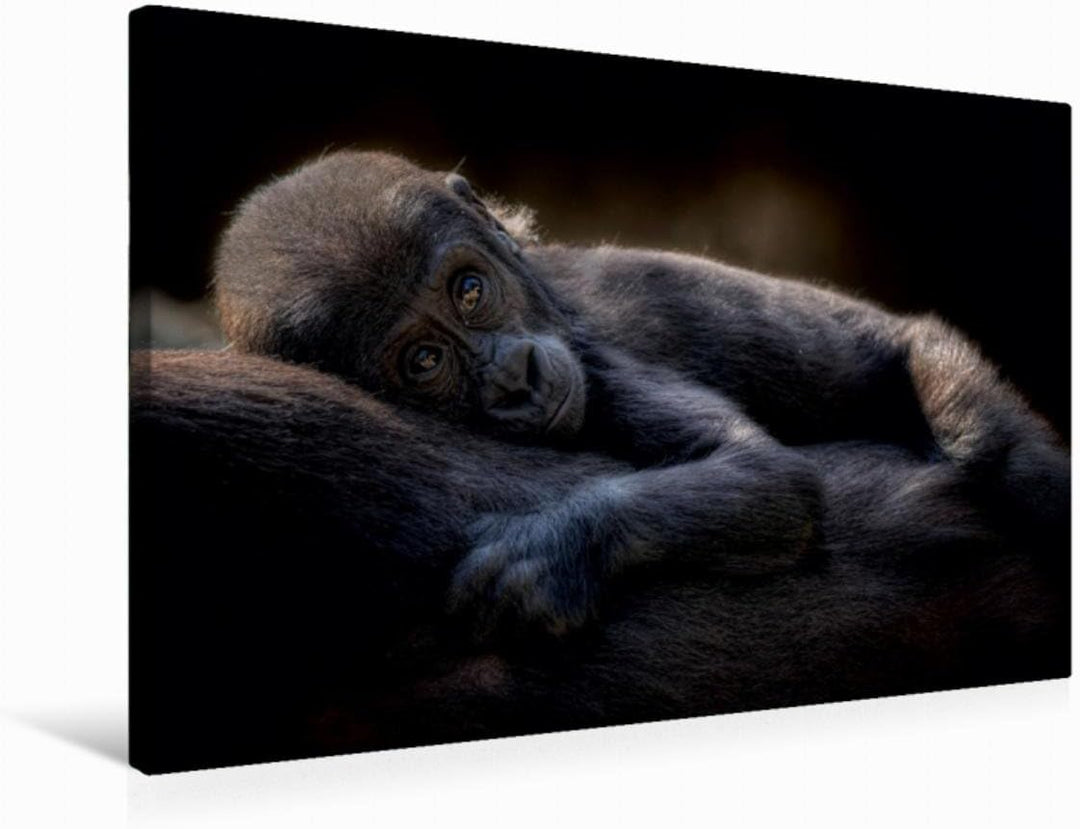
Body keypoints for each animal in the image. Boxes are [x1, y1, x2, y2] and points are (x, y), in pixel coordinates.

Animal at [211, 151, 1069, 634]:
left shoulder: (595, 360)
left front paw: (558, 545)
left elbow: (762, 474)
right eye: (423, 361)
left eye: (469, 290)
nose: (515, 376)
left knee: (990, 449)